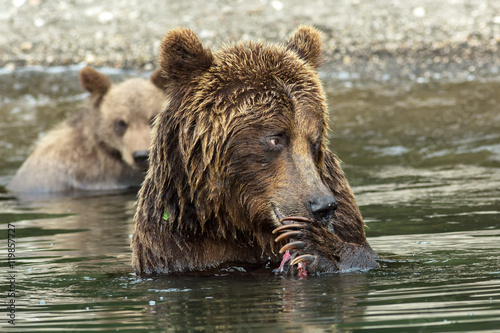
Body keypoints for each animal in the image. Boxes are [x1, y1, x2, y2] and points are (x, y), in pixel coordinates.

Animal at [131, 26, 376, 274]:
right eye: (276, 138)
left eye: (314, 140)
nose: (323, 206)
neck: (240, 223)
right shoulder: (175, 246)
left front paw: (314, 245)